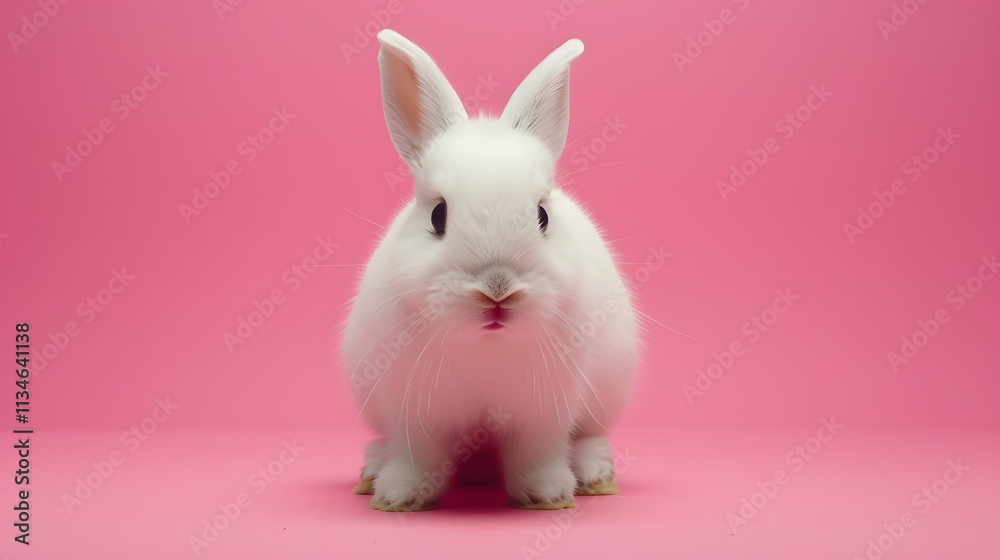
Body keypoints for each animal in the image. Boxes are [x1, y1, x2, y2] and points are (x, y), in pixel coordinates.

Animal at [342, 29, 639, 512]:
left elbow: (537, 451)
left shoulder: (543, 410)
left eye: (542, 216)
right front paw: (400, 495)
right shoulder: (413, 411)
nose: (497, 290)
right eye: (438, 216)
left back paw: (594, 473)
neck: (486, 345)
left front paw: (547, 493)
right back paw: (372, 469)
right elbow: (417, 453)